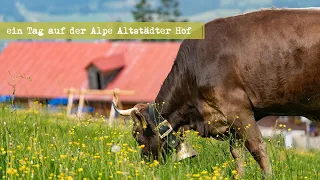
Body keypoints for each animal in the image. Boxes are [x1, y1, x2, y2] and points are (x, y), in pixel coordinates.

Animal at [113, 8, 320, 177]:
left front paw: (268, 176)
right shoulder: (230, 121)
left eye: (136, 135)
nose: (144, 164)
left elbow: (257, 147)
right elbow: (237, 153)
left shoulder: (237, 108)